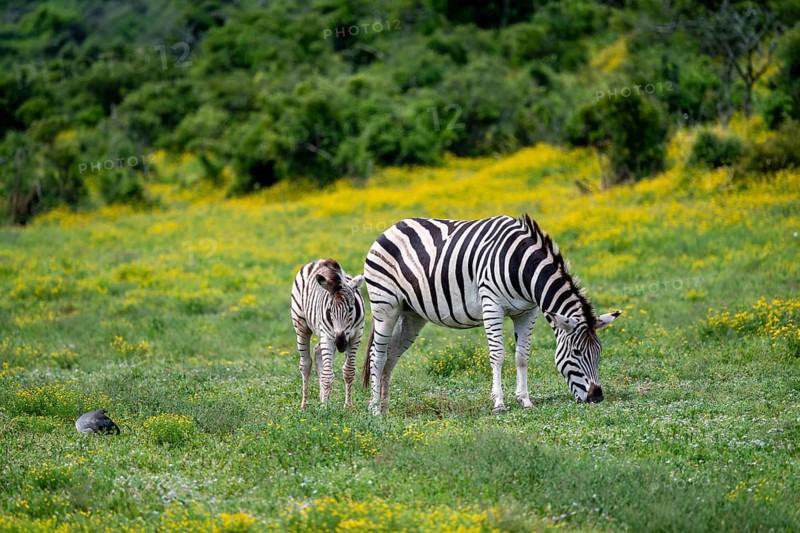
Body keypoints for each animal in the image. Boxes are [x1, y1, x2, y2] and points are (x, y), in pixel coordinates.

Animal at [291, 259, 365, 410]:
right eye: (330, 310)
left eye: (351, 308)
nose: (341, 343)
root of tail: (318, 261)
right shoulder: (328, 336)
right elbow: (327, 375)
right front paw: (324, 409)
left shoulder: (356, 335)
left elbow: (349, 371)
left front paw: (348, 406)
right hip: (301, 325)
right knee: (306, 364)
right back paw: (304, 405)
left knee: (317, 351)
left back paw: (320, 398)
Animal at [362, 214, 620, 415]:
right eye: (576, 353)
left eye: (599, 352)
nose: (597, 397)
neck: (523, 269)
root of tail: (392, 227)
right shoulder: (492, 305)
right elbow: (498, 355)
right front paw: (499, 403)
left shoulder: (528, 311)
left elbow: (522, 356)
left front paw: (525, 400)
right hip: (385, 306)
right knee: (378, 355)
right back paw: (374, 410)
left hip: (411, 315)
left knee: (391, 356)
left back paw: (385, 407)